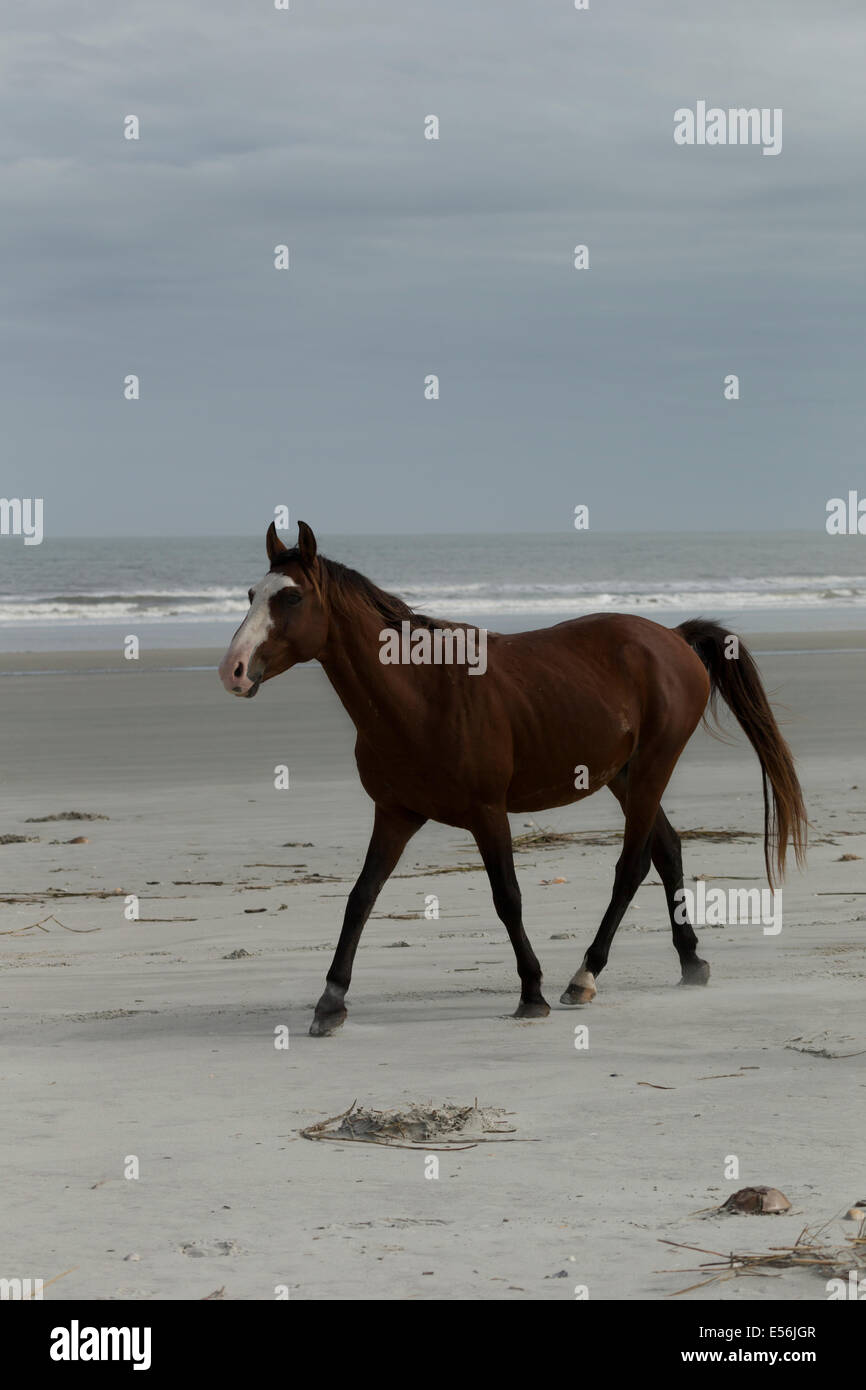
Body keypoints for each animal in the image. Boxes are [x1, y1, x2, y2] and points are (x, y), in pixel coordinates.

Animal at [219, 525, 811, 1039]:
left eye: (290, 598)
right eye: (251, 593)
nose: (233, 670)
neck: (422, 695)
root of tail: (673, 638)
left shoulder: (487, 813)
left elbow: (508, 897)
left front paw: (532, 992)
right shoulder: (395, 814)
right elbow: (360, 898)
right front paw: (330, 1002)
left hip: (650, 770)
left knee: (633, 865)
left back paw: (584, 976)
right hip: (624, 776)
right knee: (667, 850)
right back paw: (690, 961)